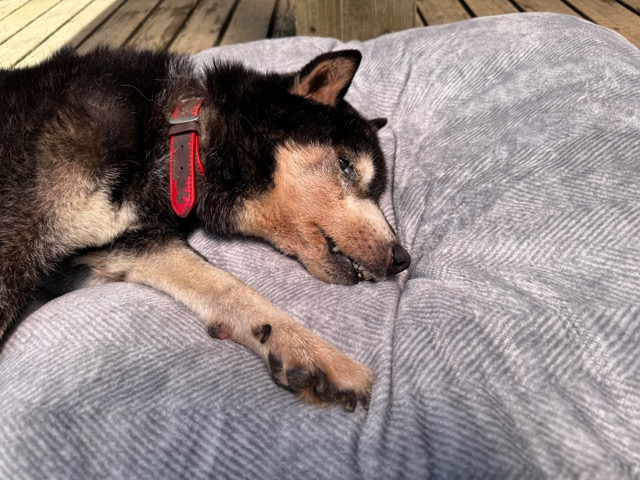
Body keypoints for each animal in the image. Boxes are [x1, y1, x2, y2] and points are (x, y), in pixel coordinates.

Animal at [0, 45, 410, 411]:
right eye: (345, 165)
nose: (403, 259)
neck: (176, 138)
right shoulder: (15, 247)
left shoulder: (134, 243)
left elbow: (227, 286)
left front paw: (308, 351)